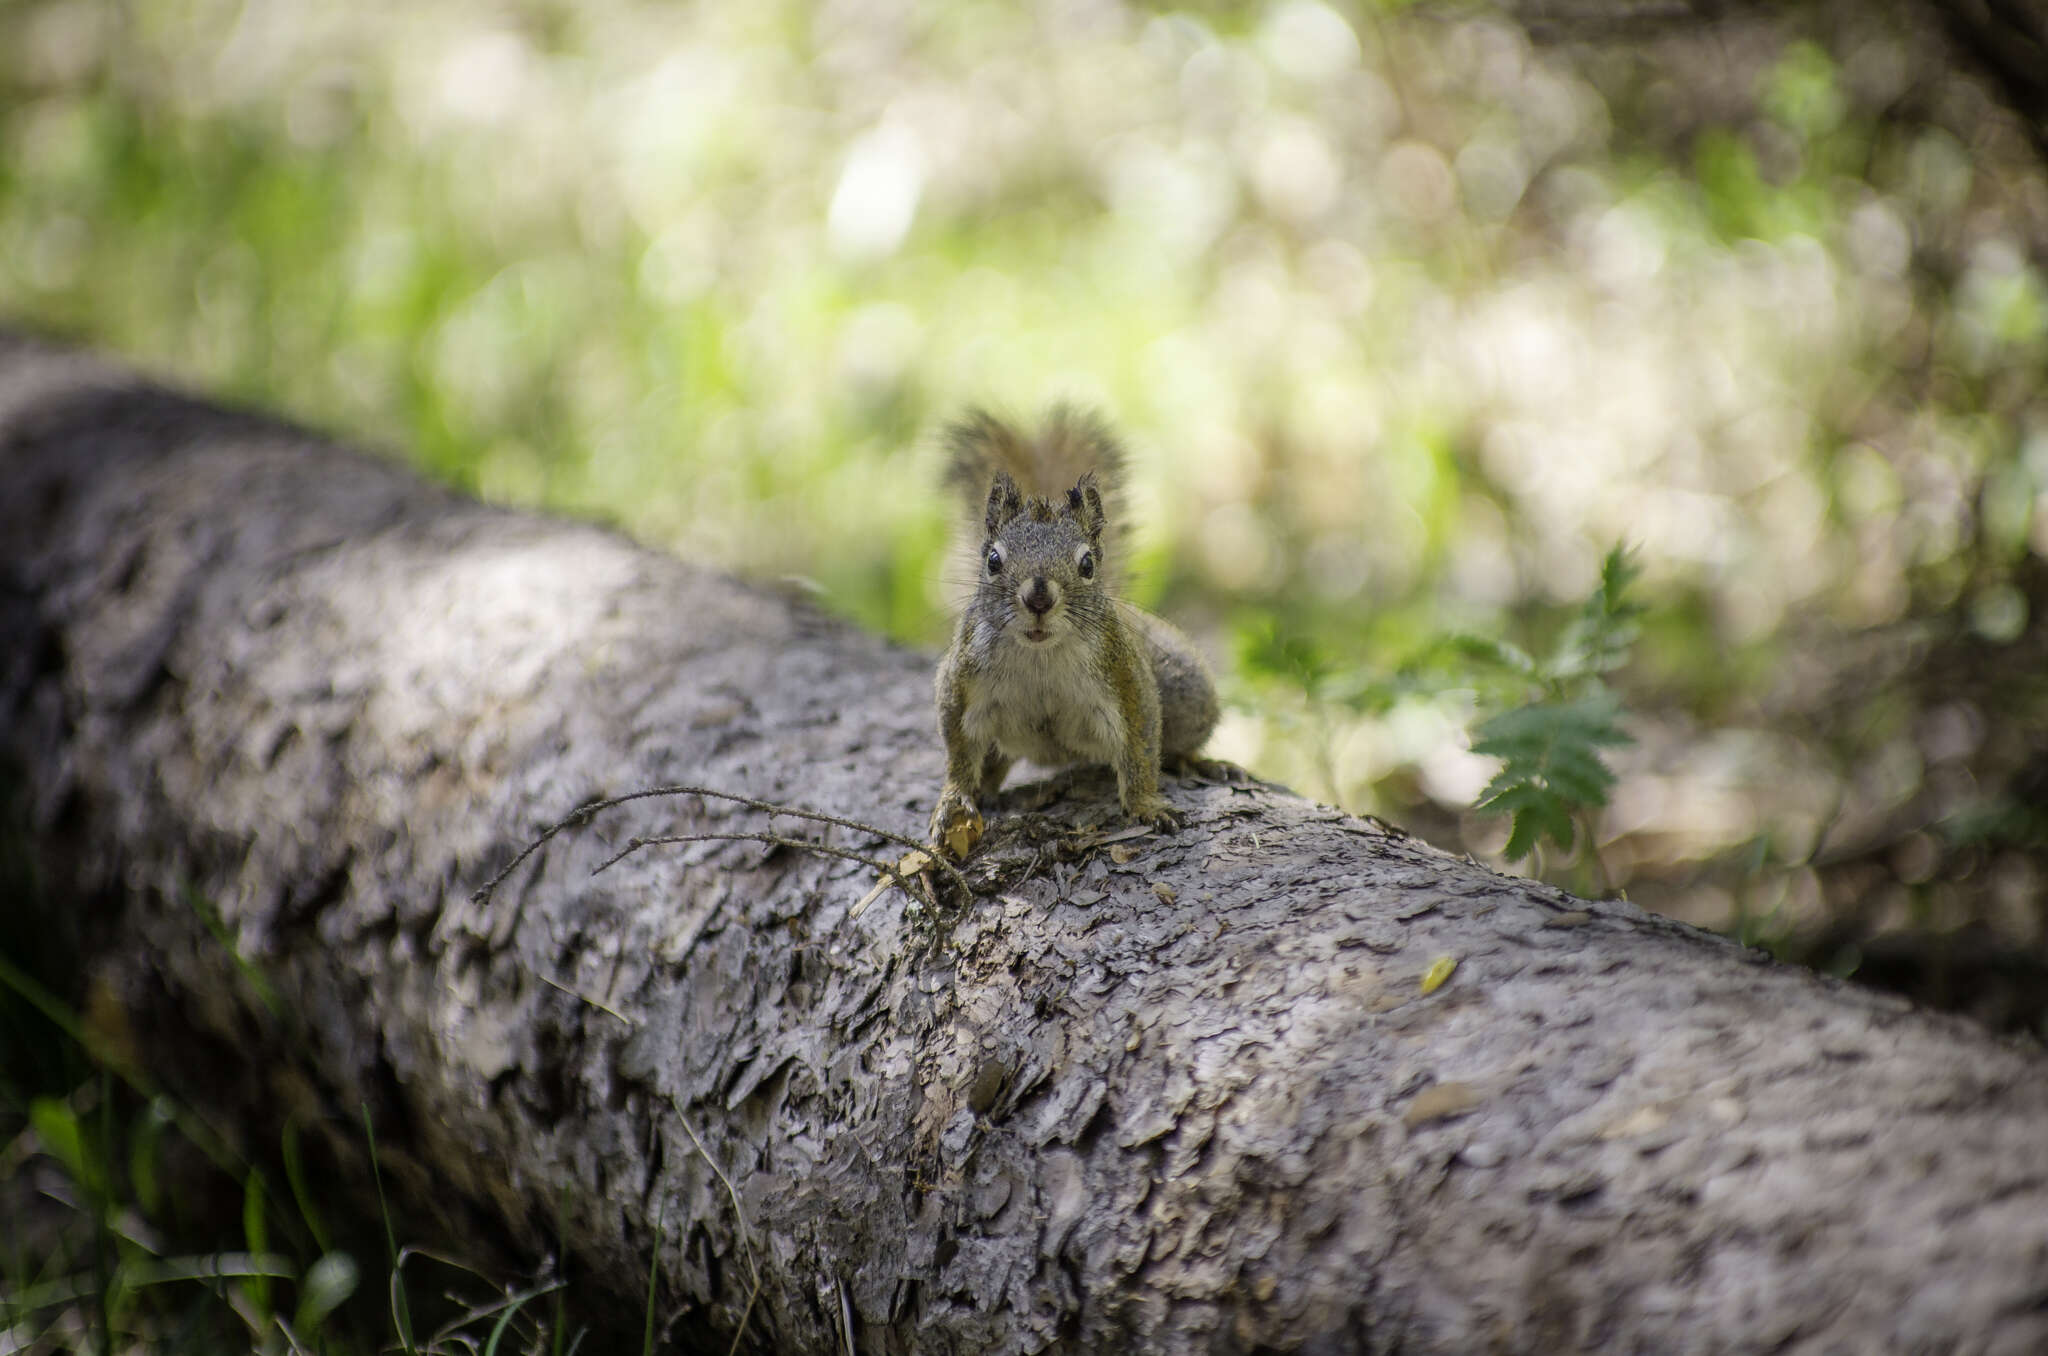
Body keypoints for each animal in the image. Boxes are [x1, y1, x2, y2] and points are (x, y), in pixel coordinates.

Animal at [933, 405, 1212, 860]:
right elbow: (957, 748)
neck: (1040, 654)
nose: (1038, 598)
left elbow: (1140, 746)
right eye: (993, 560)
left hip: (1190, 693)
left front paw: (1147, 806)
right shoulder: (960, 681)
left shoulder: (1125, 677)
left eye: (1087, 564)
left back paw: (1199, 762)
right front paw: (953, 801)